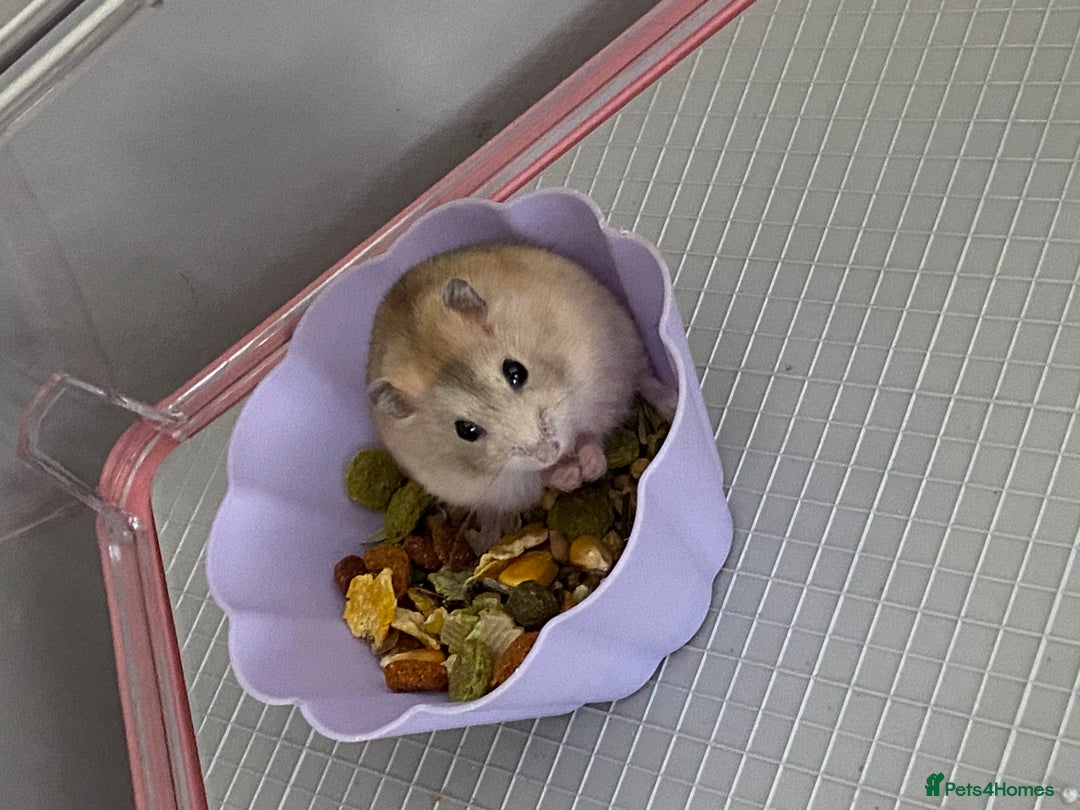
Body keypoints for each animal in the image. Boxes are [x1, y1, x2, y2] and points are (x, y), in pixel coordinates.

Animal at [366, 242, 676, 524]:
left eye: (516, 371)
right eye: (466, 430)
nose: (550, 453)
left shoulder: (598, 391)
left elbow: (590, 435)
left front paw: (590, 469)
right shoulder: (495, 485)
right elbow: (540, 476)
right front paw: (570, 477)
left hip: (627, 341)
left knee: (643, 377)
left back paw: (673, 403)